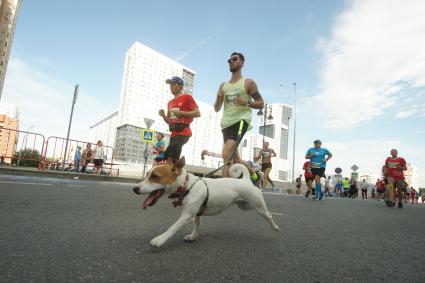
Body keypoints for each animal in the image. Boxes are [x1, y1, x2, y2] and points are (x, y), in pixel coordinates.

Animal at [132, 158, 278, 248]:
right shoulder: (196, 213)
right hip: (244, 205)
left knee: (269, 214)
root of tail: (246, 180)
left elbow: (172, 227)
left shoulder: (186, 216)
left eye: (155, 177)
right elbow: (196, 224)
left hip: (256, 205)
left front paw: (160, 239)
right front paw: (193, 236)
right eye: (147, 175)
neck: (187, 186)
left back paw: (275, 227)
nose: (134, 189)